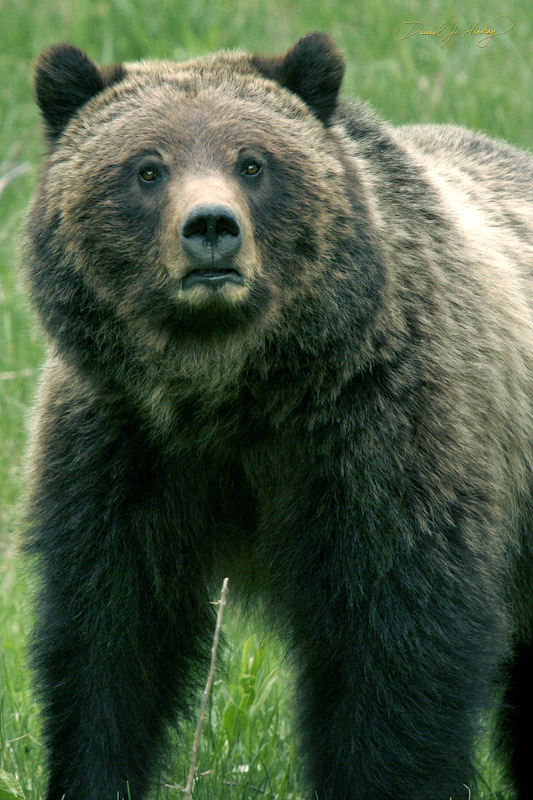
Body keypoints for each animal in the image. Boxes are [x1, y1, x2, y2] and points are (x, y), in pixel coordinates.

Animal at [22, 32, 533, 800]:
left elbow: (394, 652)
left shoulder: (380, 433)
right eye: (147, 168)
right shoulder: (121, 445)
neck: (231, 393)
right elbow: (108, 642)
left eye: (253, 162)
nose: (211, 228)